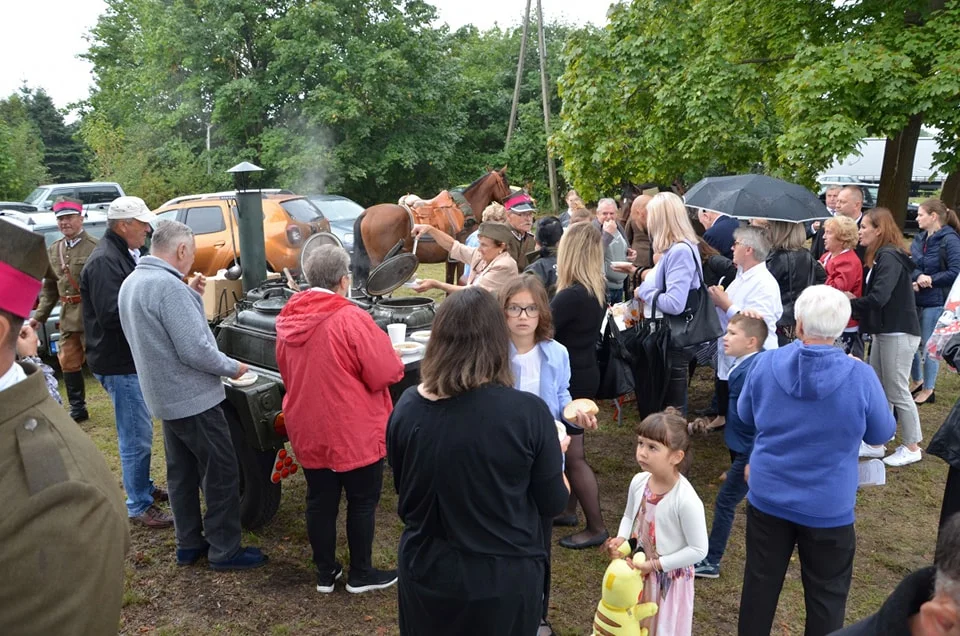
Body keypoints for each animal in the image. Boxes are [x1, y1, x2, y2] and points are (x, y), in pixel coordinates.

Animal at [352, 169, 512, 288]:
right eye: (505, 182)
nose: (510, 199)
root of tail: (366, 213)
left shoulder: (451, 259)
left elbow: (449, 283)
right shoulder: (461, 260)